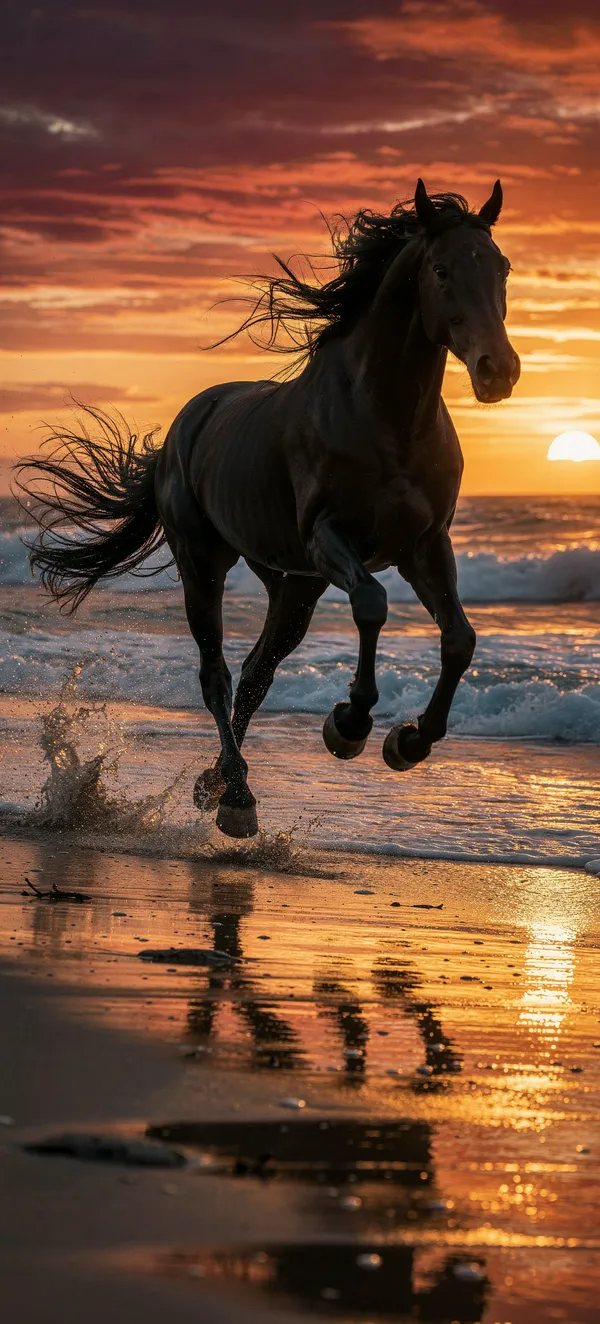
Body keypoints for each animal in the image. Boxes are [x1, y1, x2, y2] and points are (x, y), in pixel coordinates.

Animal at [16, 179, 520, 839]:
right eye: (440, 269)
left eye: (502, 267)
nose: (498, 370)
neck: (388, 421)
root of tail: (184, 426)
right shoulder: (330, 540)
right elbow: (372, 605)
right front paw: (349, 726)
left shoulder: (426, 545)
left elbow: (460, 638)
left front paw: (409, 742)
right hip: (205, 562)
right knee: (218, 675)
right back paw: (236, 797)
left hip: (292, 582)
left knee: (258, 672)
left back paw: (216, 785)